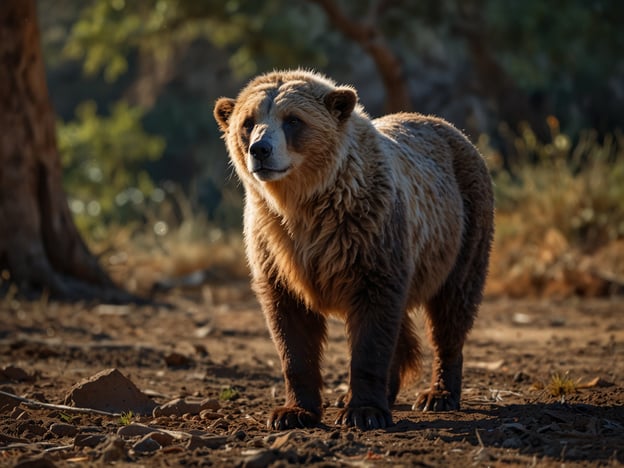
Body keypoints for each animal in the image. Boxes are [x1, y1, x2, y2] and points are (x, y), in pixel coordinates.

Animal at [214, 69, 492, 432]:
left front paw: (363, 412)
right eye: (248, 122)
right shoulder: (274, 248)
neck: (304, 203)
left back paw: (437, 394)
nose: (260, 149)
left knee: (453, 306)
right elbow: (290, 329)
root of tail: (452, 129)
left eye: (292, 120)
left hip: (461, 228)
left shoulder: (368, 236)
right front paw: (292, 413)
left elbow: (373, 329)